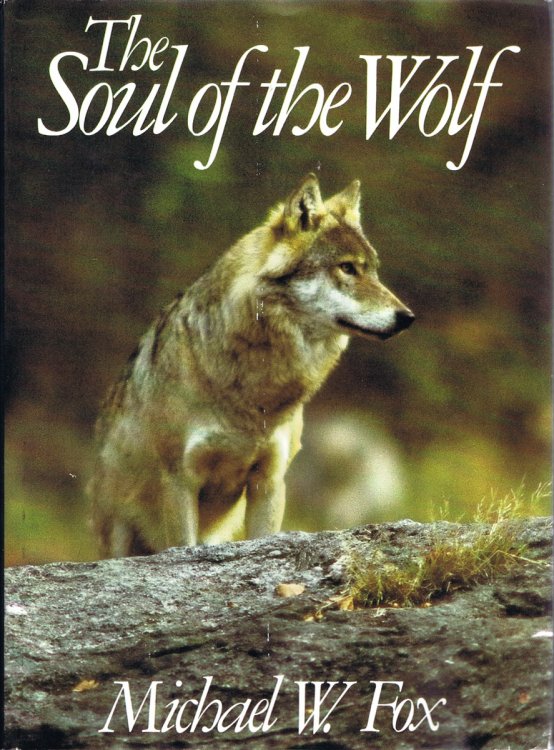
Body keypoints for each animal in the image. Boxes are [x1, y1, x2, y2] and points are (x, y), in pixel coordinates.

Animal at [89, 174, 414, 557]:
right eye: (347, 267)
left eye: (374, 271)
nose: (407, 317)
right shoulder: (180, 481)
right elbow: (182, 545)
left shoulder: (269, 481)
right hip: (119, 534)